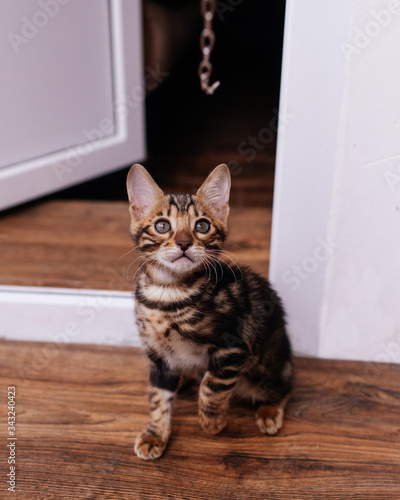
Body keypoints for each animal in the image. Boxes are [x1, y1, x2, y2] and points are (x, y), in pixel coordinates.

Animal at [126, 164, 292, 460]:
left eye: (201, 226)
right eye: (162, 226)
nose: (183, 243)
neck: (169, 292)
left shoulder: (233, 347)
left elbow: (211, 385)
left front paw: (211, 422)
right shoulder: (157, 353)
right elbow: (158, 397)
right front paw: (155, 434)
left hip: (264, 365)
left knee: (285, 384)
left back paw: (270, 410)